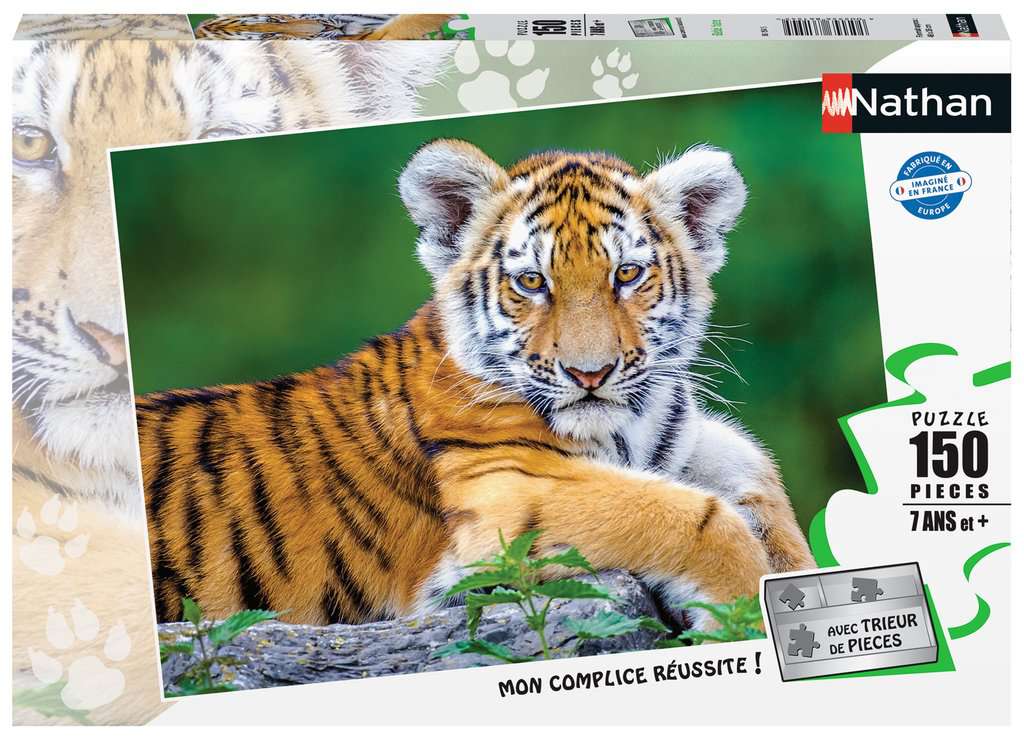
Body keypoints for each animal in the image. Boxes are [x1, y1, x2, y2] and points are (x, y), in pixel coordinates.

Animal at [138, 139, 815, 632]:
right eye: (532, 282)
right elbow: (696, 517)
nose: (589, 374)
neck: (631, 430)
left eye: (627, 275)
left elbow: (753, 470)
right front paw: (742, 617)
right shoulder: (508, 492)